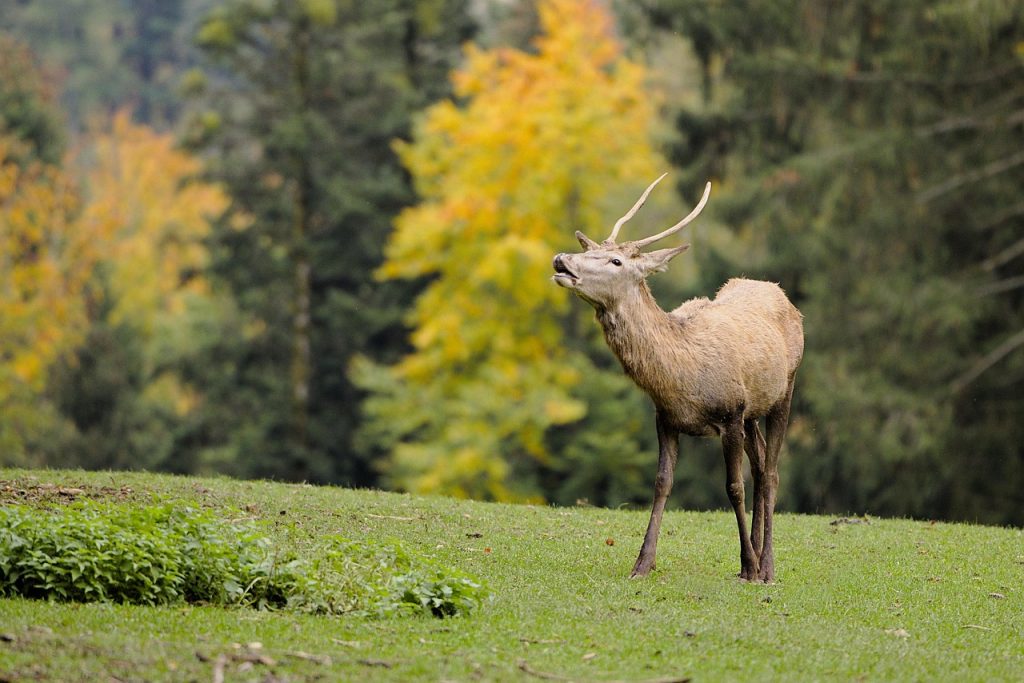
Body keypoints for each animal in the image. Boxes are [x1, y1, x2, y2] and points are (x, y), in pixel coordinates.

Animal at [551, 175, 803, 583]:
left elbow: (734, 487)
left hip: (785, 389)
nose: (561, 260)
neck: (681, 377)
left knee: (771, 472)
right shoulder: (666, 418)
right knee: (762, 462)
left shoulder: (731, 412)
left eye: (616, 260)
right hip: (753, 412)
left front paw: (750, 566)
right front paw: (642, 564)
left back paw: (765, 566)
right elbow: (661, 483)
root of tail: (779, 291)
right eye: (591, 249)